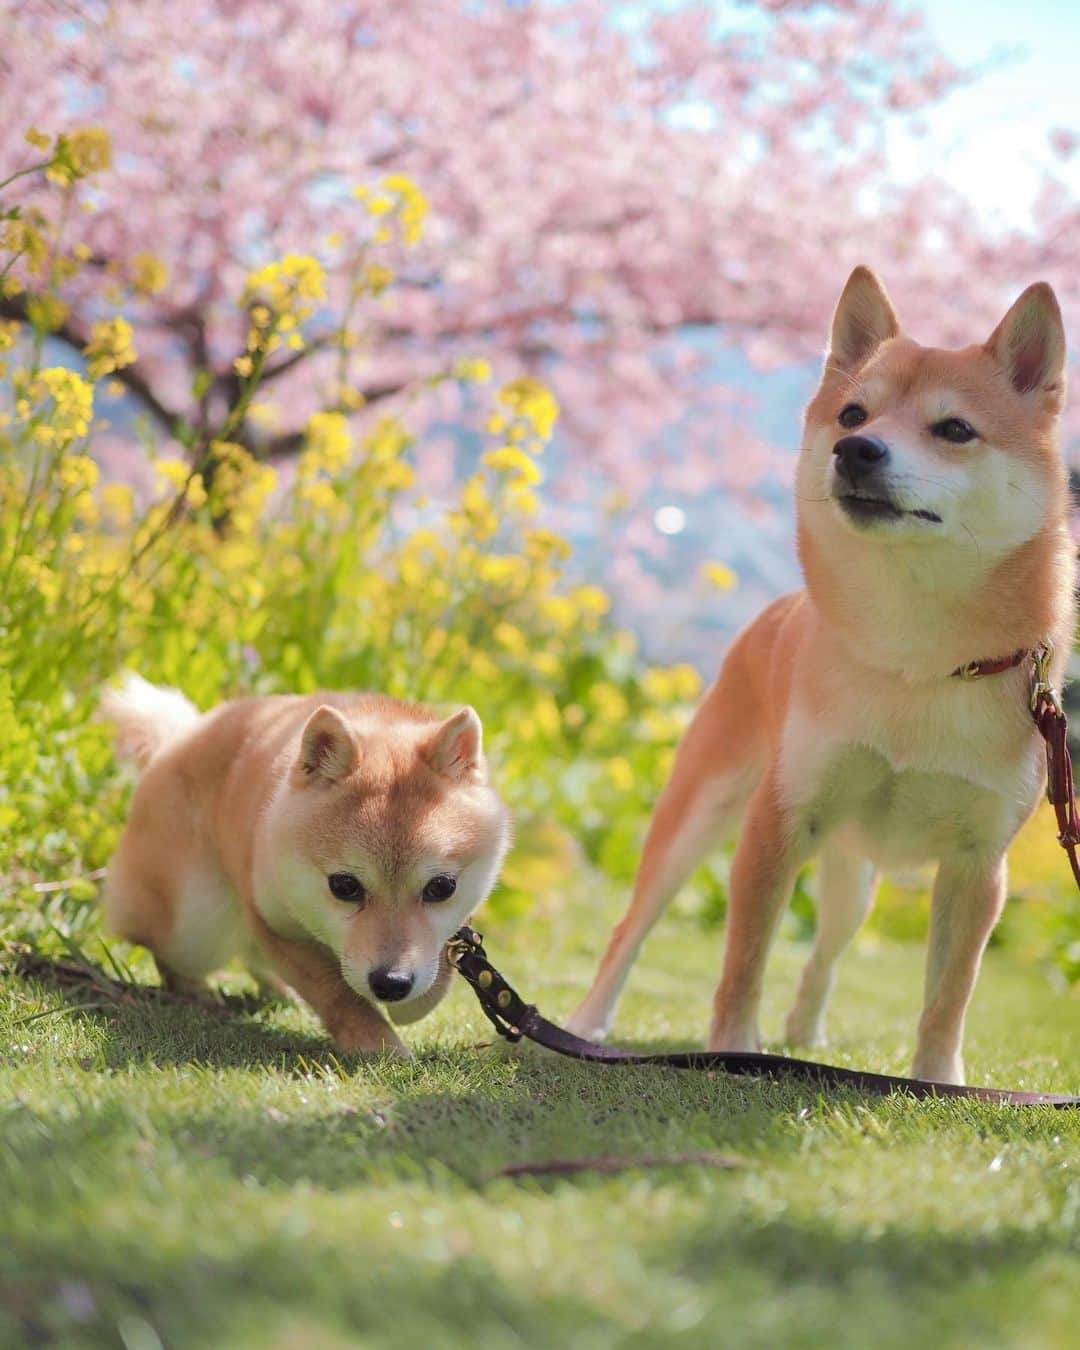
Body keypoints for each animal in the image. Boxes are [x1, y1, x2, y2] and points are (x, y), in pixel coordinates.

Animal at [101, 675, 507, 1053]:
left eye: (441, 887)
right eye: (344, 886)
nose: (391, 984)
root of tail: (178, 738)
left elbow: (439, 966)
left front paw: (413, 1001)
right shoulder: (271, 920)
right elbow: (337, 995)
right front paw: (376, 1042)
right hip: (194, 923)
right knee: (170, 952)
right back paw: (196, 988)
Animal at [569, 265, 1074, 1085]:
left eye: (954, 429)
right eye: (852, 413)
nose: (857, 449)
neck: (914, 659)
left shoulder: (979, 866)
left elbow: (950, 992)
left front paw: (936, 1080)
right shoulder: (779, 820)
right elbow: (745, 958)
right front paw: (733, 1047)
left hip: (853, 886)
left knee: (825, 958)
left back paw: (806, 1032)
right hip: (698, 815)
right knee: (631, 926)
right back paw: (587, 1023)